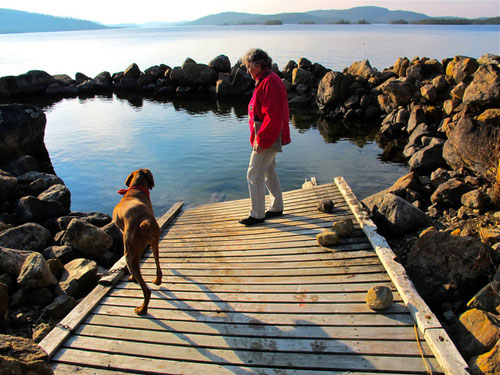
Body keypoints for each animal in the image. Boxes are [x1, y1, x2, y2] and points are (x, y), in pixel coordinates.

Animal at [112, 169, 161, 316]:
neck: (135, 190)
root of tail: (145, 221)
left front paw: (132, 278)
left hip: (129, 253)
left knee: (146, 291)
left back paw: (142, 309)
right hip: (154, 244)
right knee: (158, 267)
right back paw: (158, 280)